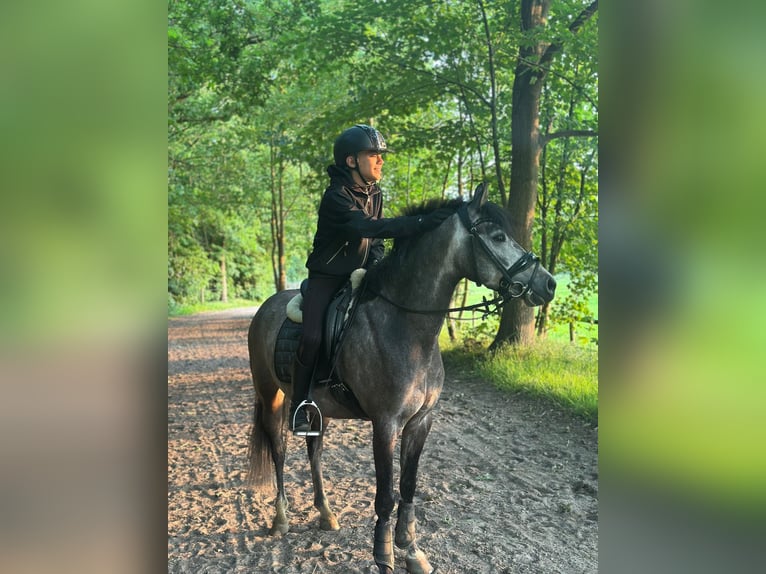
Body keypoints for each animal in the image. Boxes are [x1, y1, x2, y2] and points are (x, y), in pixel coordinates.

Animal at [246, 183, 556, 574]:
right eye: (498, 236)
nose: (549, 284)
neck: (405, 326)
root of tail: (266, 307)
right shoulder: (385, 424)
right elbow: (385, 495)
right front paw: (384, 555)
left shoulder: (420, 422)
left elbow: (408, 487)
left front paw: (411, 550)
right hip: (270, 395)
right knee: (279, 451)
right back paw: (281, 519)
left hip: (318, 408)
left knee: (314, 452)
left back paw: (326, 514)